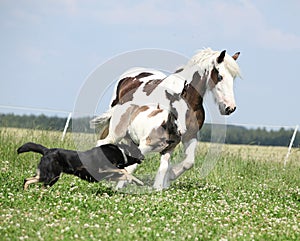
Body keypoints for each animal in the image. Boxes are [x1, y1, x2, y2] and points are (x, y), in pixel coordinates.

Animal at [91, 48, 241, 189]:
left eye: (233, 78)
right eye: (220, 76)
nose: (229, 108)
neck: (189, 100)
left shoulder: (189, 135)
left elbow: (188, 162)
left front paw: (168, 178)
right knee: (104, 141)